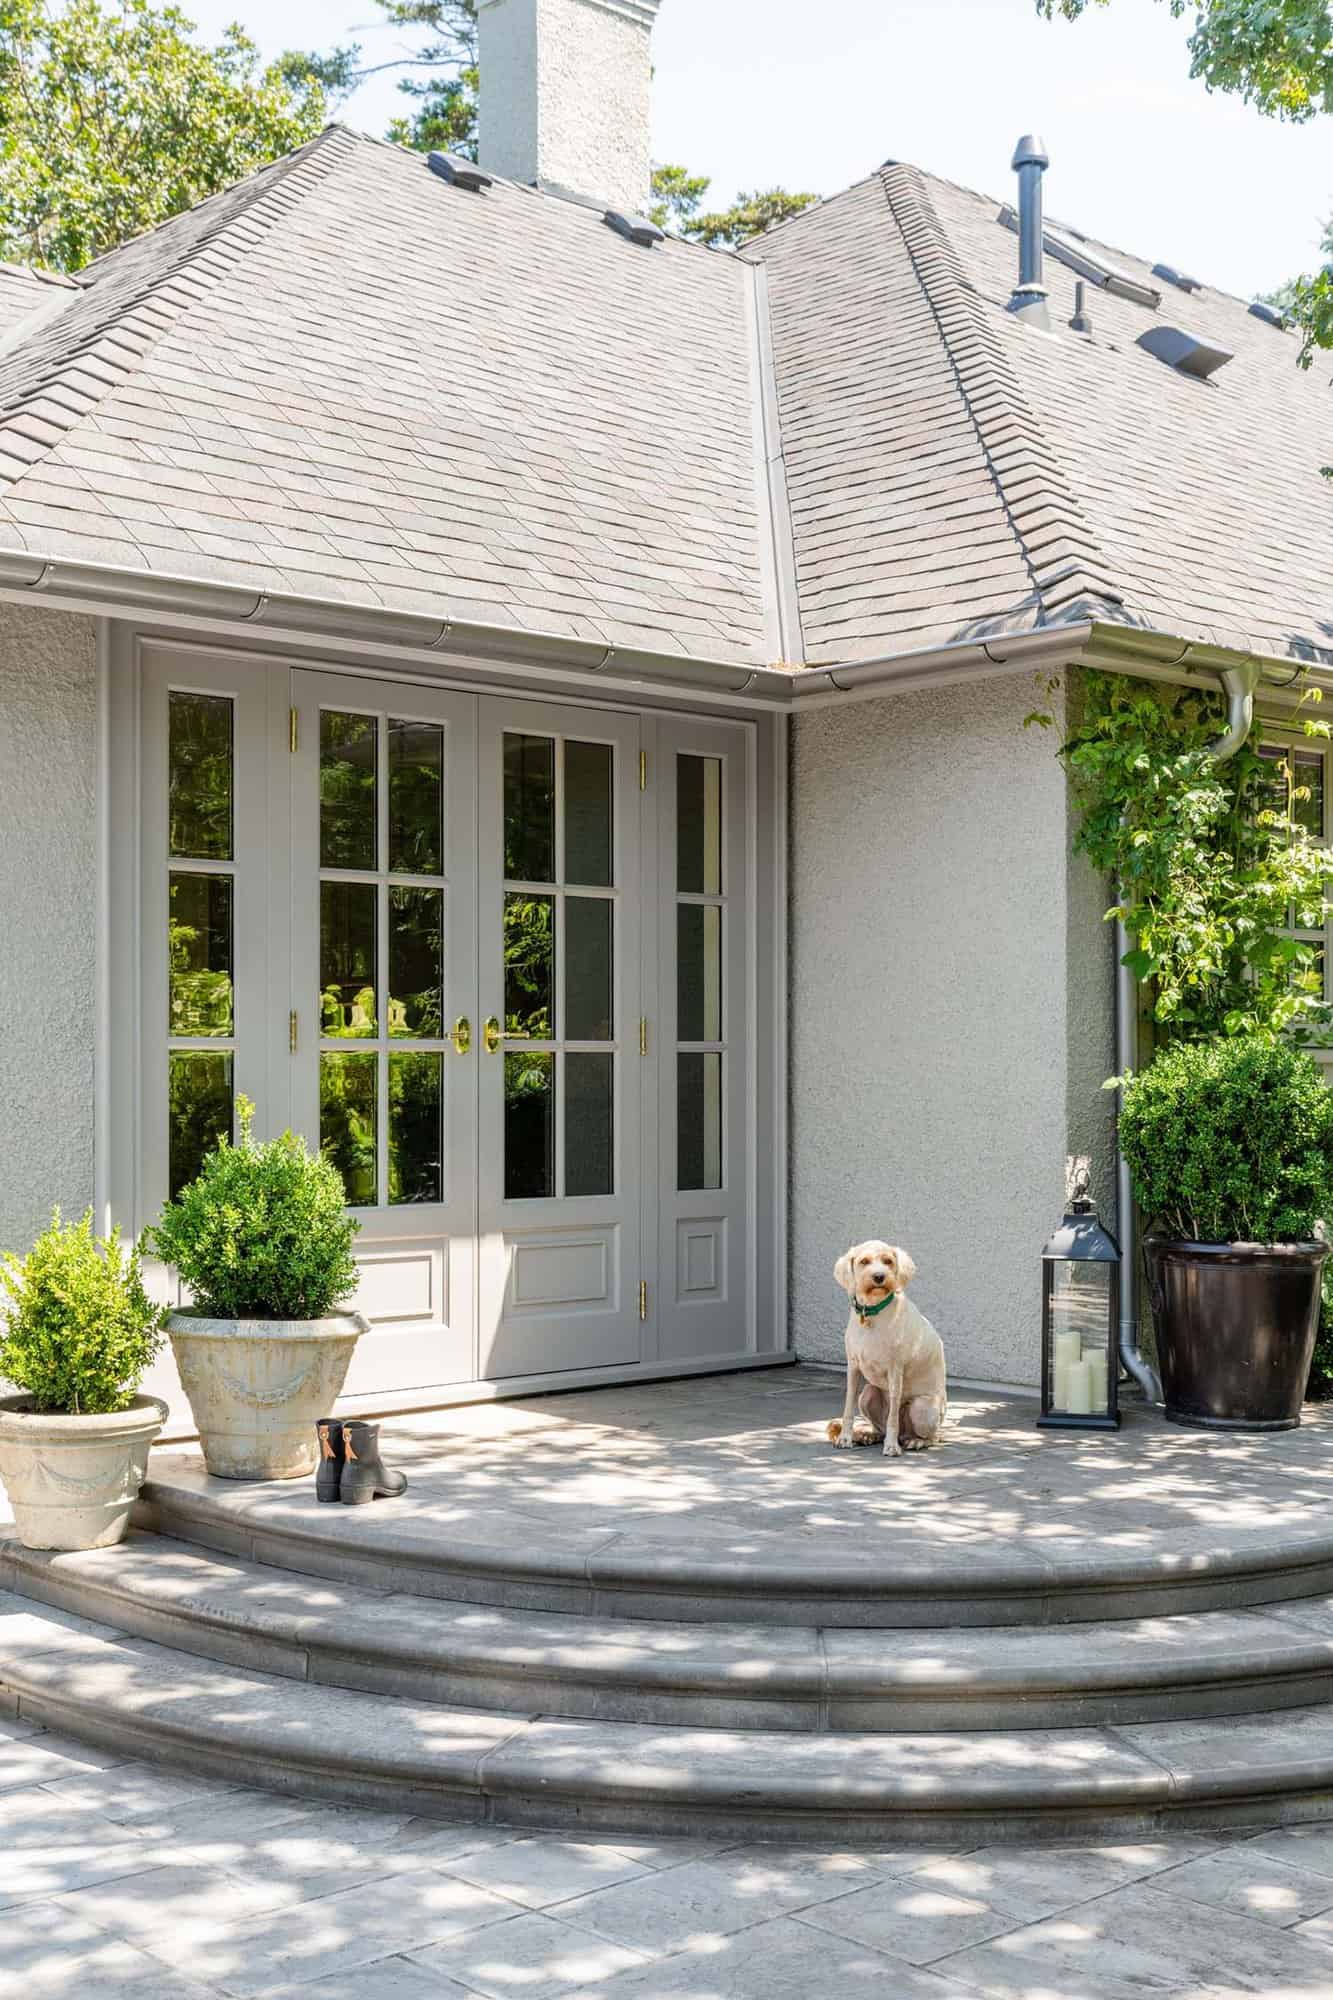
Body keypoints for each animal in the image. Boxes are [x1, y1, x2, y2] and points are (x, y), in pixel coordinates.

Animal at [820, 1232, 944, 1456]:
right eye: (864, 1261)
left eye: (888, 1261)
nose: (879, 1276)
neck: (873, 1313)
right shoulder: (853, 1367)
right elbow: (848, 1407)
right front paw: (845, 1438)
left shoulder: (895, 1370)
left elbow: (893, 1417)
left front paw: (891, 1446)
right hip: (868, 1394)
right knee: (879, 1426)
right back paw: (870, 1435)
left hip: (923, 1408)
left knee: (932, 1436)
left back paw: (914, 1441)